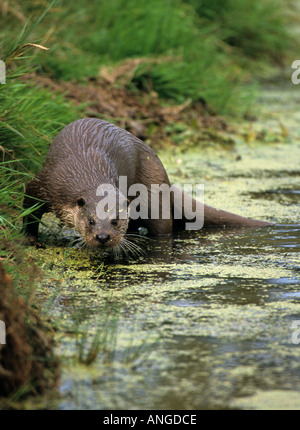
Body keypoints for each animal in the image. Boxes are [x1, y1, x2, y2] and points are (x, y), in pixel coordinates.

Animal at [23, 119, 270, 250]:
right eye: (91, 221)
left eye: (115, 221)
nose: (103, 237)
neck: (82, 168)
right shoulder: (44, 183)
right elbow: (29, 209)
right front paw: (32, 241)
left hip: (154, 197)